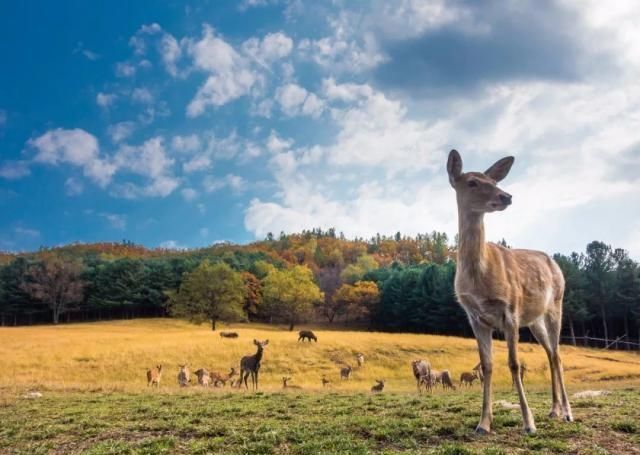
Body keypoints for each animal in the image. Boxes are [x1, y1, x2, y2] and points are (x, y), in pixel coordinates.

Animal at [444, 151, 576, 434]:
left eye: (494, 181)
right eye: (472, 182)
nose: (506, 196)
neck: (479, 277)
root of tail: (555, 263)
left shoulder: (510, 310)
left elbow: (514, 364)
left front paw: (529, 423)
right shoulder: (475, 317)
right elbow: (487, 365)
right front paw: (483, 424)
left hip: (556, 304)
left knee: (558, 355)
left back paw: (568, 412)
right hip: (534, 320)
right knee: (551, 354)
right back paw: (554, 410)